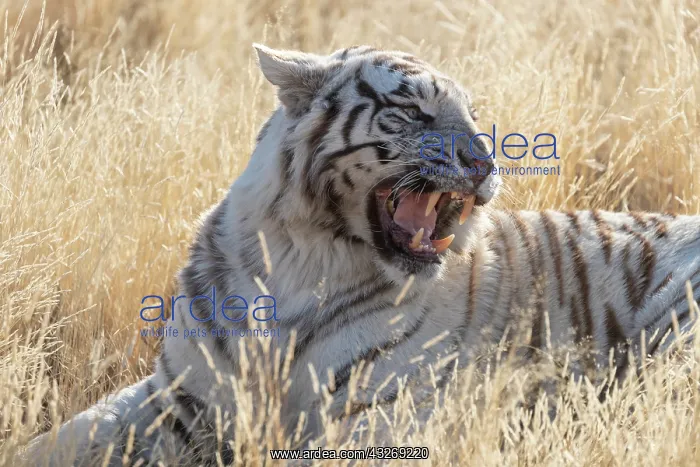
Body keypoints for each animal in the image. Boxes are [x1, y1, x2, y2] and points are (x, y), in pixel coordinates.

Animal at [23, 44, 700, 466]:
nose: (486, 163)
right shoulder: (179, 400)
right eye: (413, 111)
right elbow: (77, 431)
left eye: (473, 115)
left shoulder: (383, 418)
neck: (298, 260)